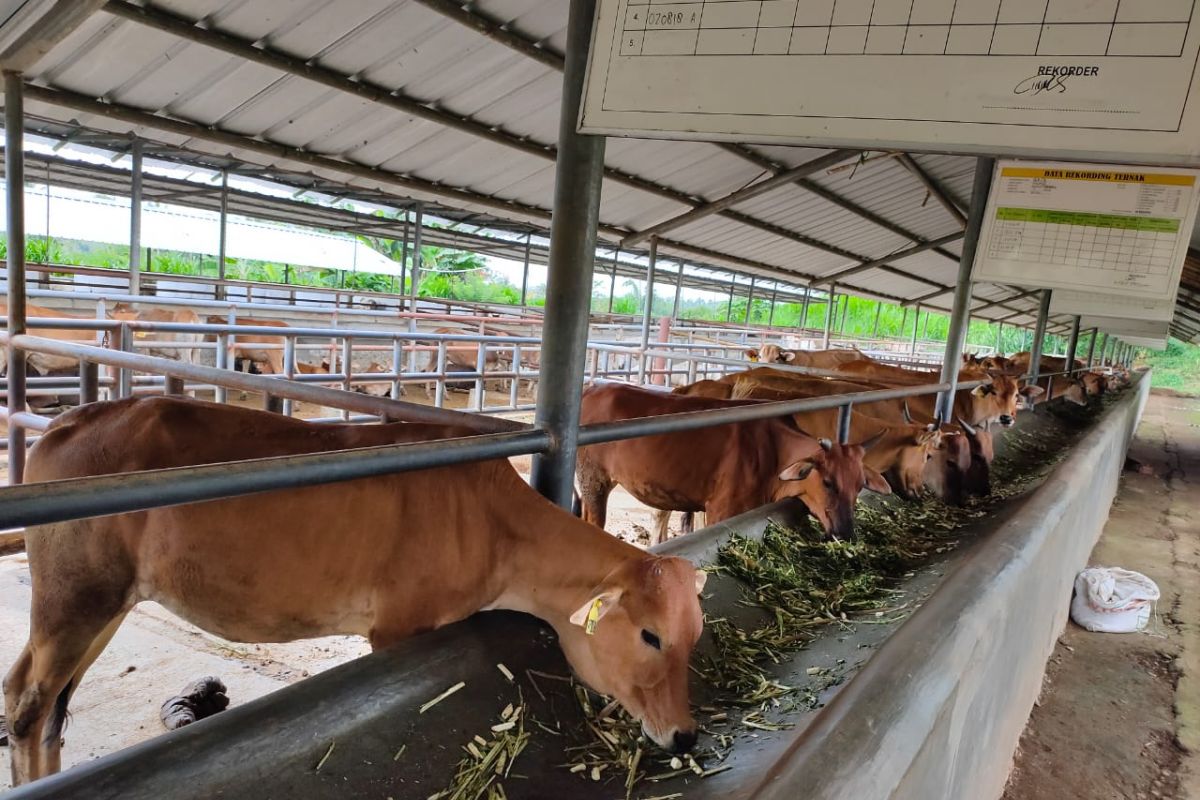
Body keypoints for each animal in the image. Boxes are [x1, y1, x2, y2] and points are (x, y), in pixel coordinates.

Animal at [4, 398, 705, 786]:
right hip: (76, 595)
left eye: (694, 636)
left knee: (40, 701)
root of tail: (68, 422)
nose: (686, 735)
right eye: (650, 635)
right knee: (30, 705)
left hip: (105, 603)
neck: (492, 521)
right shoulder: (396, 626)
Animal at [576, 383, 897, 544]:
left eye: (860, 485)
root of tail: (591, 390)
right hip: (593, 481)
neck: (773, 450)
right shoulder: (721, 510)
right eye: (828, 482)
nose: (846, 533)